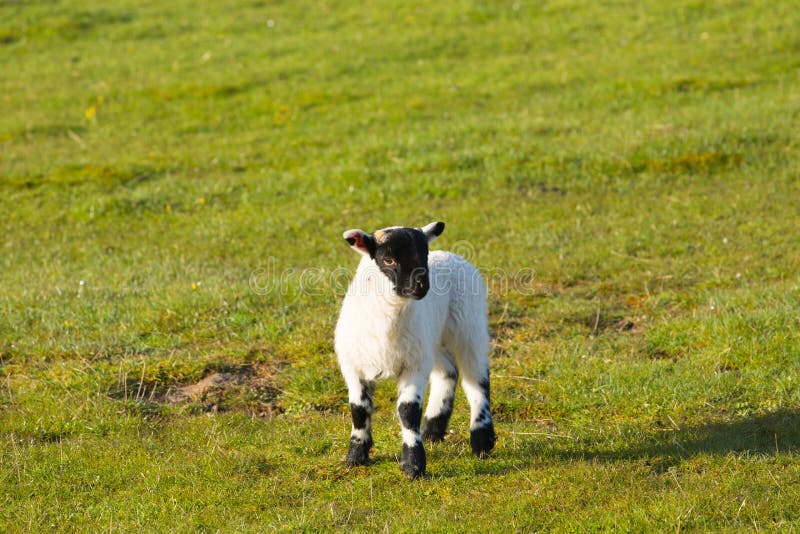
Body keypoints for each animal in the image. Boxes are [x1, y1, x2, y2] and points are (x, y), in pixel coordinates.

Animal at [334, 221, 496, 479]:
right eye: (388, 260)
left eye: (424, 255)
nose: (421, 286)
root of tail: (451, 255)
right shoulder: (353, 366)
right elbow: (358, 410)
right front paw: (356, 457)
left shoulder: (414, 366)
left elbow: (407, 410)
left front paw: (413, 465)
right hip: (431, 340)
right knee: (448, 373)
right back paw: (432, 430)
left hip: (469, 328)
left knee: (477, 381)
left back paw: (481, 439)